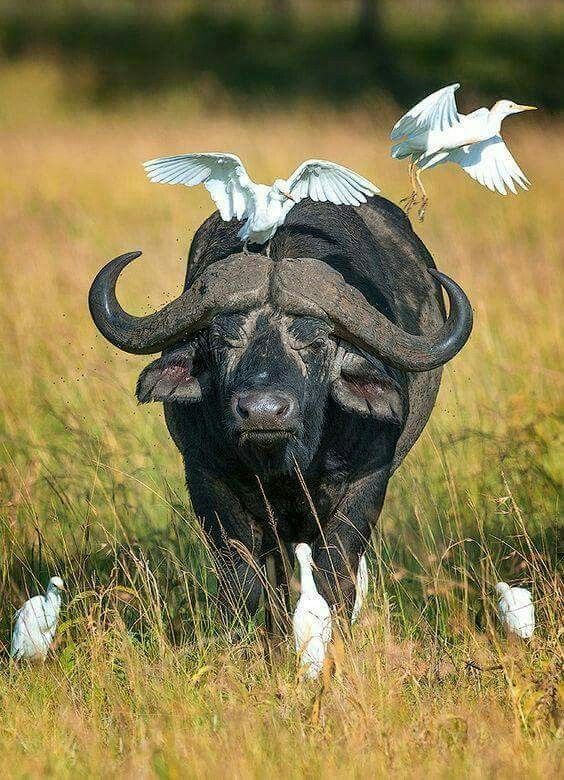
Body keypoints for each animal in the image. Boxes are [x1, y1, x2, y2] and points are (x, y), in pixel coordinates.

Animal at [89, 198, 472, 632]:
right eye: (222, 339)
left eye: (317, 341)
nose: (262, 412)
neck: (288, 464)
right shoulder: (207, 480)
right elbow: (244, 583)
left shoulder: (367, 484)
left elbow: (335, 577)